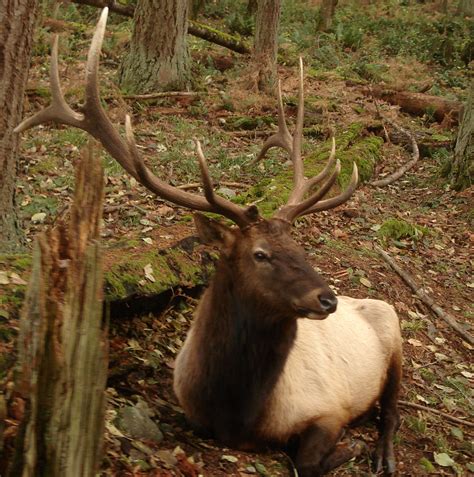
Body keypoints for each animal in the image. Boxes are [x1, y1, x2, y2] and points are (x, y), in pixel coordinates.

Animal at [14, 8, 402, 476]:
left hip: (395, 337)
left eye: (301, 249)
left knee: (393, 409)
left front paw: (353, 446)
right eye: (260, 254)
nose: (327, 299)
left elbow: (307, 460)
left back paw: (384, 453)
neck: (235, 408)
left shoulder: (330, 408)